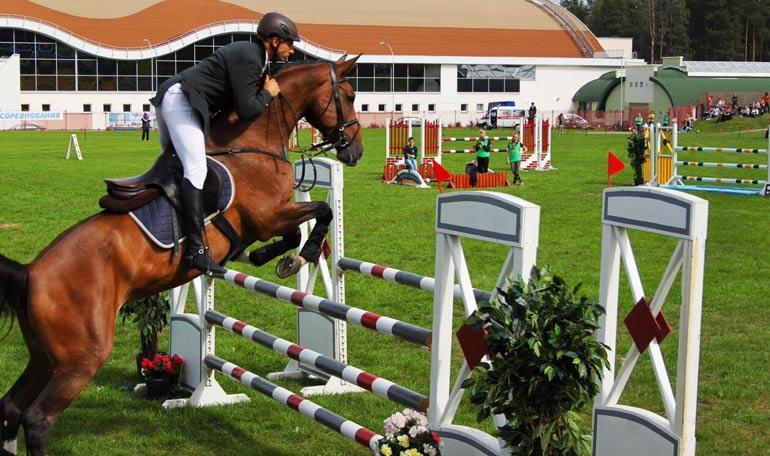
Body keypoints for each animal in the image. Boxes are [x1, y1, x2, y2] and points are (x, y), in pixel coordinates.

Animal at [0, 56, 363, 455]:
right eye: (349, 95)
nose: (356, 151)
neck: (250, 145)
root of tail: (30, 273)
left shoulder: (269, 219)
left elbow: (295, 232)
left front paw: (269, 258)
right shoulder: (268, 216)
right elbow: (317, 214)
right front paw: (299, 256)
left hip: (44, 357)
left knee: (11, 407)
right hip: (80, 358)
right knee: (38, 419)